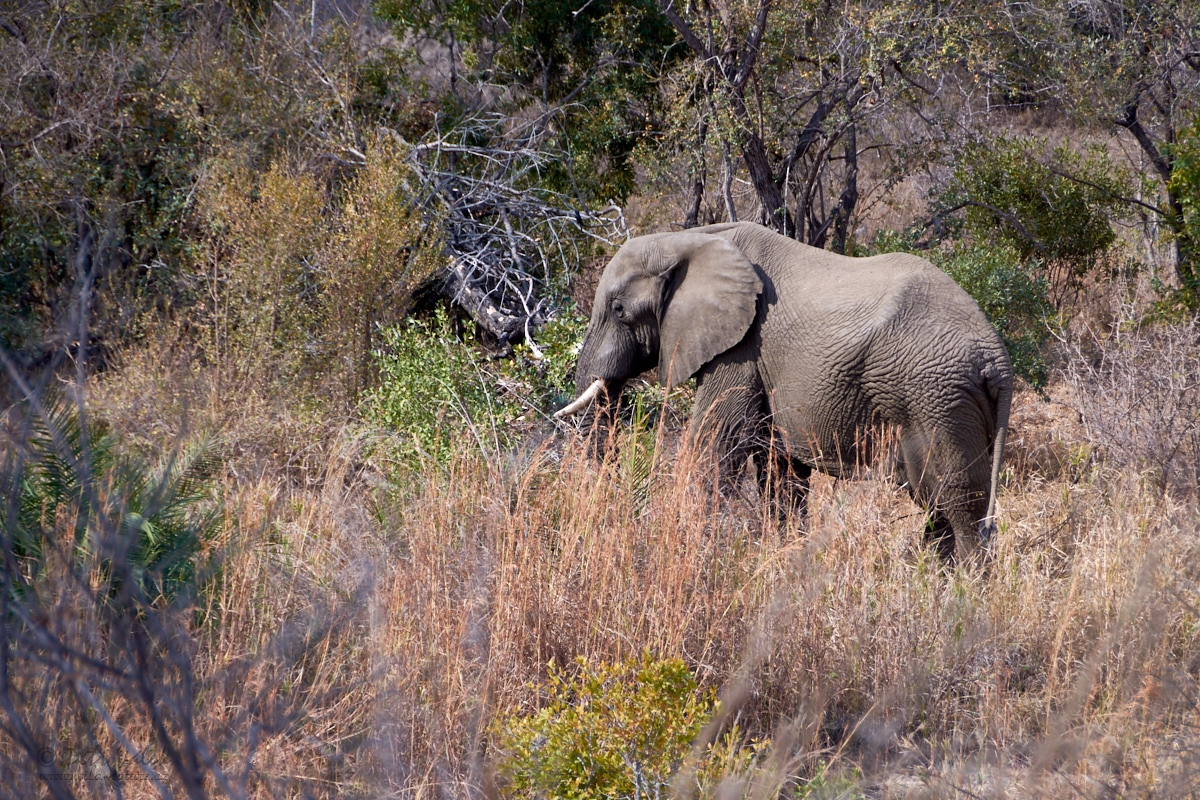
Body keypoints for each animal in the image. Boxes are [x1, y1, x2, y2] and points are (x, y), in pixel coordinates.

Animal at [556, 219, 1008, 556]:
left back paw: (963, 594)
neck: (690, 239)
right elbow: (780, 472)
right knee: (935, 500)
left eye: (619, 310)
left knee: (958, 501)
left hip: (937, 399)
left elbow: (713, 443)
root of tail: (998, 360)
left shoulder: (741, 350)